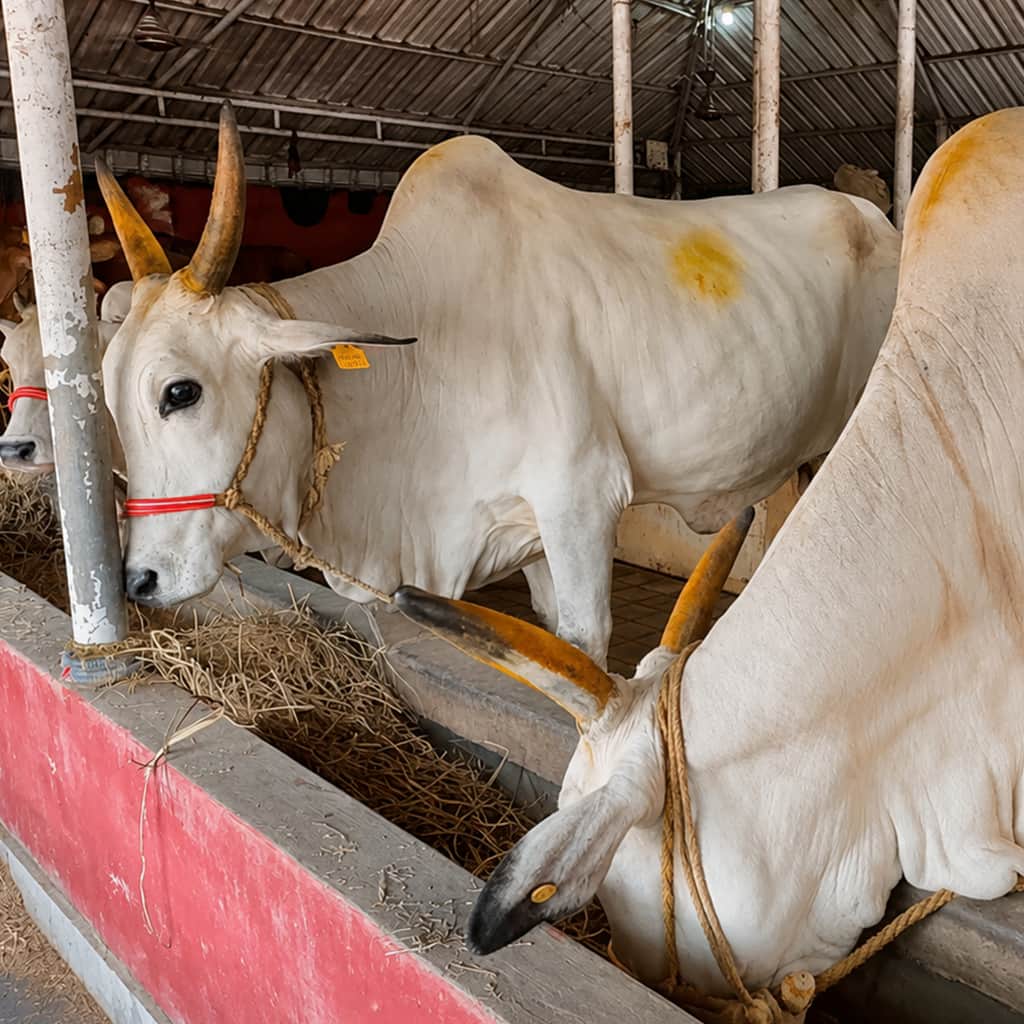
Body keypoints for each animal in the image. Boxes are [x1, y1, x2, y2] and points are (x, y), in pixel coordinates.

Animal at [98, 102, 898, 664]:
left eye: (180, 391)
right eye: (105, 395)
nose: (137, 581)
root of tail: (874, 217)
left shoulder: (582, 501)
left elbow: (582, 648)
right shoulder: (528, 531)